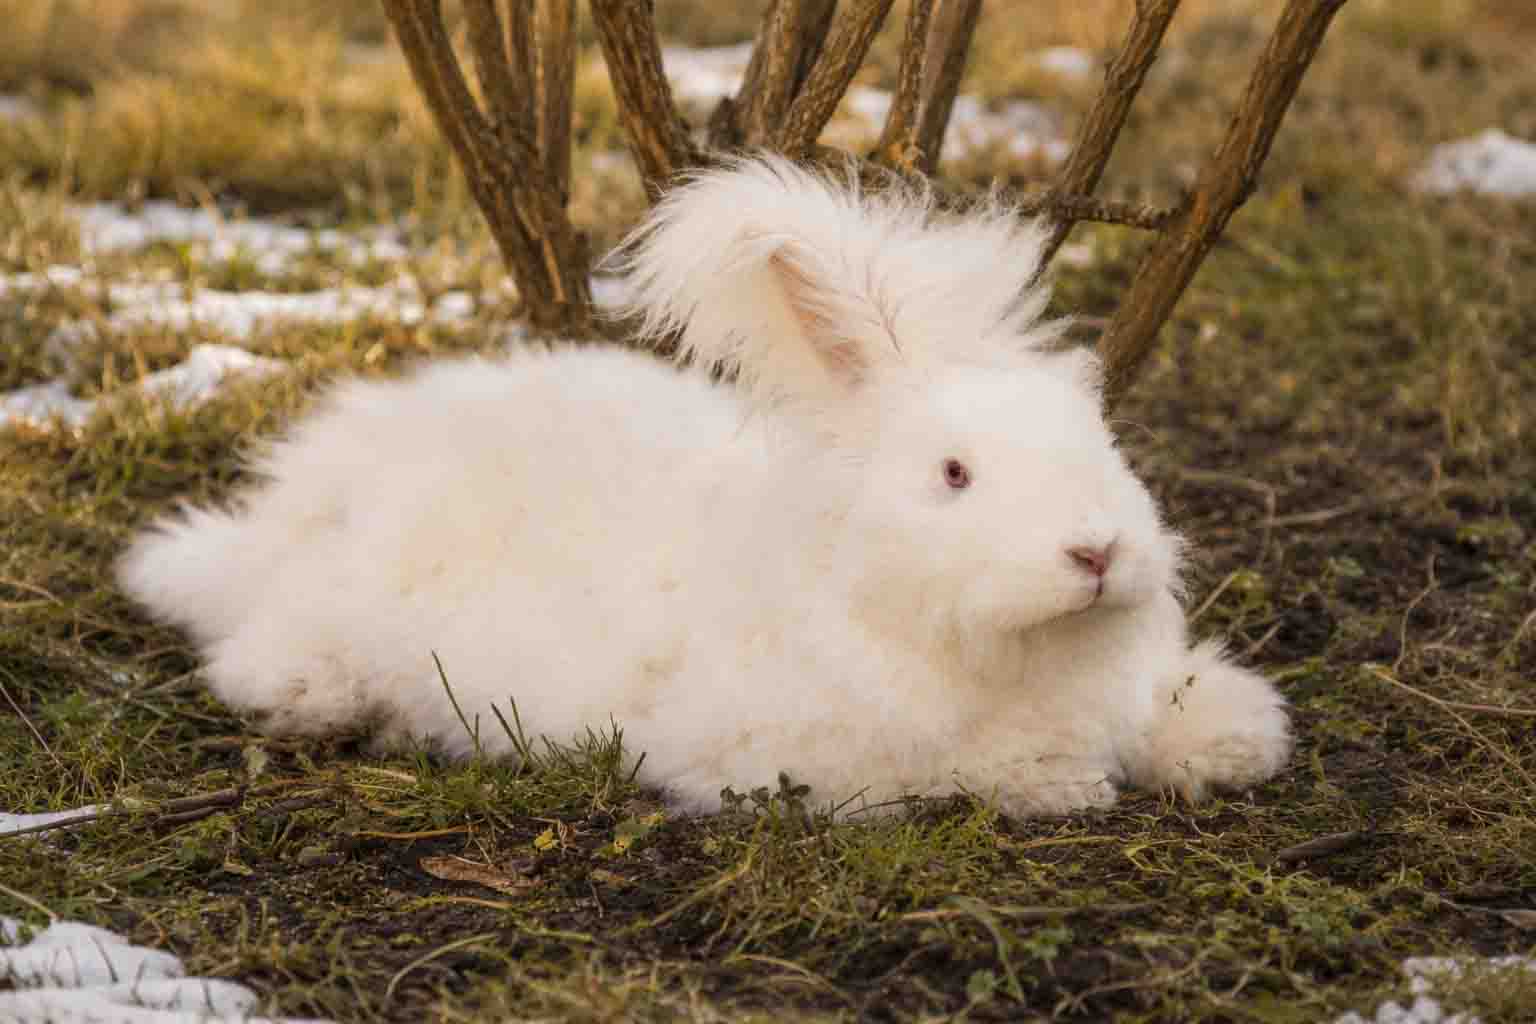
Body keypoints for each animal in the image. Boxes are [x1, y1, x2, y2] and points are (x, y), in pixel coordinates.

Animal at [117, 156, 1292, 818]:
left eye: (1102, 442)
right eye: (954, 474)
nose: (1096, 552)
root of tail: (271, 522)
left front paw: (1233, 743)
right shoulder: (812, 753)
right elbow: (978, 768)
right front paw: (1066, 784)